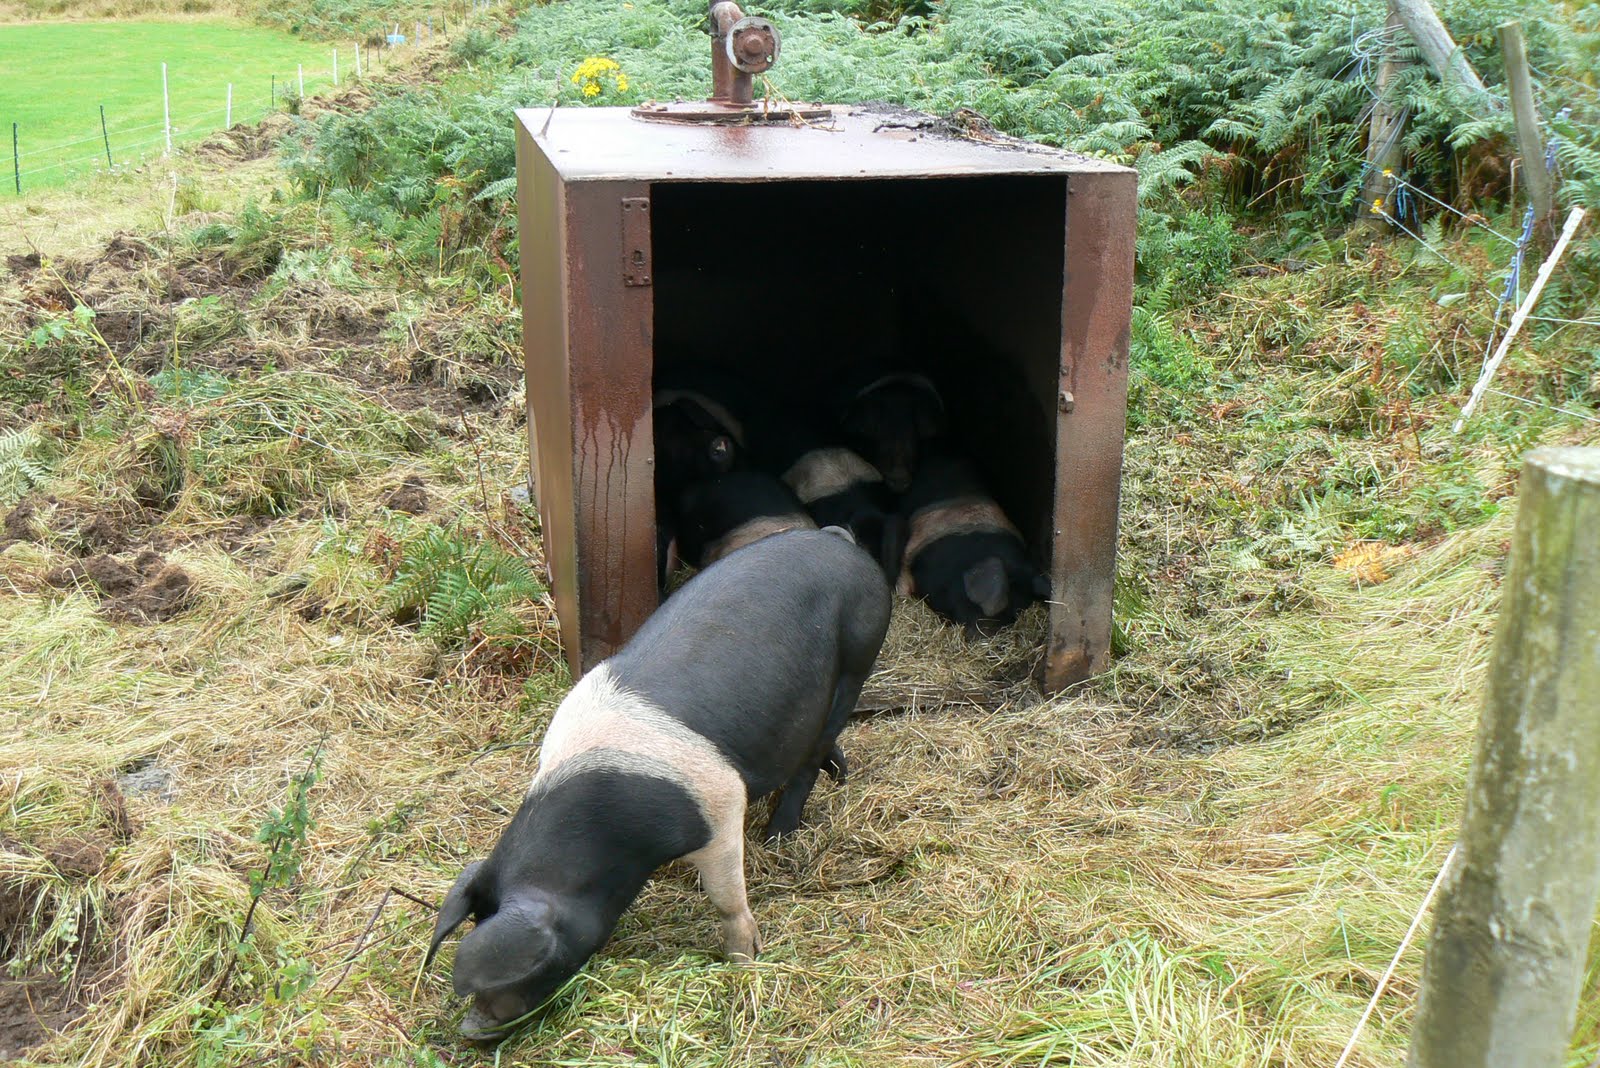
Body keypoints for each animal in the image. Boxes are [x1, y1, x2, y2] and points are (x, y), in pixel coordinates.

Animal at [425, 528, 893, 1039]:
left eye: (540, 959)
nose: (471, 1029)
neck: (611, 828)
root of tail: (836, 539)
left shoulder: (720, 801)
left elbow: (726, 897)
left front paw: (744, 961)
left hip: (859, 653)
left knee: (813, 753)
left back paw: (779, 835)